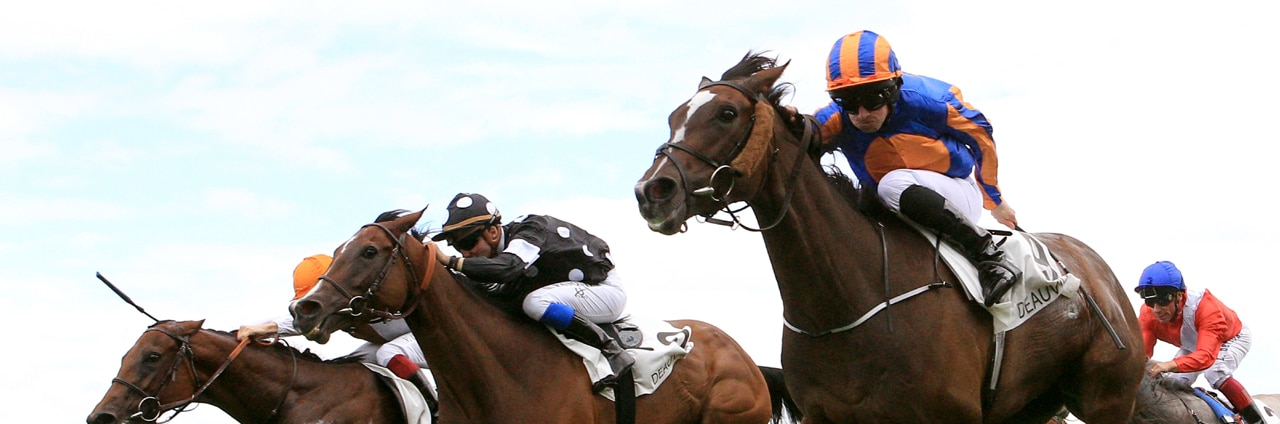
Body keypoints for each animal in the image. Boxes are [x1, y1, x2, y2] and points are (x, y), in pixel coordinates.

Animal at [634, 52, 1147, 423]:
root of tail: (1095, 268)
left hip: (1109, 398)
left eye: (726, 113)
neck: (845, 299)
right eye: (674, 116)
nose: (652, 191)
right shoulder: (825, 415)